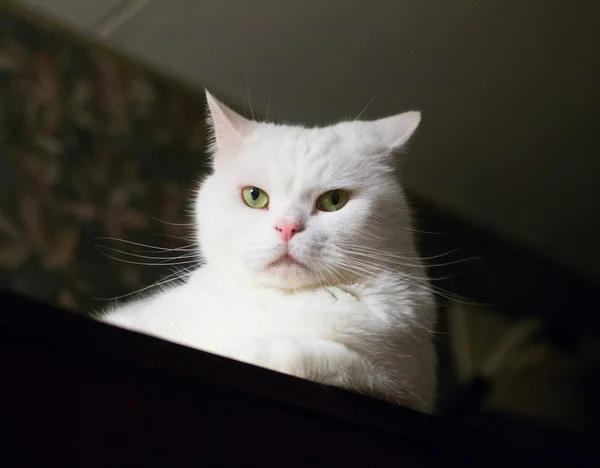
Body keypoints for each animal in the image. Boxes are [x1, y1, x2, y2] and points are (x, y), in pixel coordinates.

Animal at [101, 90, 438, 414]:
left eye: (334, 200)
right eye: (254, 196)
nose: (288, 227)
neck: (280, 302)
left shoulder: (406, 386)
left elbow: (333, 364)